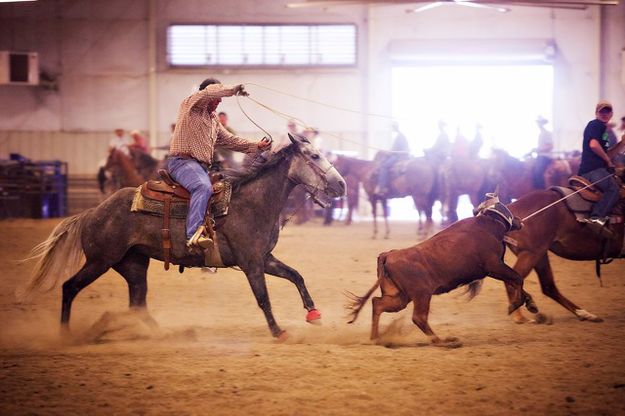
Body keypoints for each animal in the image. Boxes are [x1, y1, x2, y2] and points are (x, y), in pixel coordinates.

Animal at [22, 135, 346, 340]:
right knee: (69, 287)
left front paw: (314, 314)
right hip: (100, 260)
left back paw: (166, 334)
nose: (341, 185)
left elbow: (296, 276)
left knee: (138, 304)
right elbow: (263, 298)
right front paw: (279, 332)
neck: (252, 202)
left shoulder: (264, 258)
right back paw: (66, 335)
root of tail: (91, 213)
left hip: (133, 265)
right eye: (314, 156)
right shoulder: (251, 263)